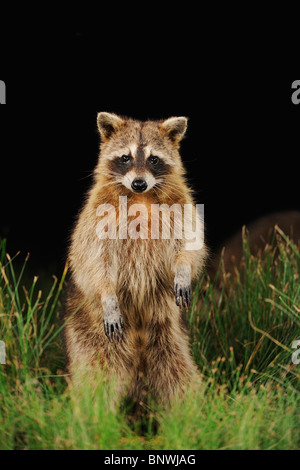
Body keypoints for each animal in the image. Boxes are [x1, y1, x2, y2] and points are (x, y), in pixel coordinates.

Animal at [62, 113, 207, 404]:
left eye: (154, 159)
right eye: (125, 157)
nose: (138, 182)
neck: (142, 196)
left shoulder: (182, 205)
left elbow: (190, 243)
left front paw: (183, 268)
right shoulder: (96, 215)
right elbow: (94, 259)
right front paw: (107, 294)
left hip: (171, 336)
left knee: (179, 374)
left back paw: (191, 413)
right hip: (88, 334)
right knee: (96, 377)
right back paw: (91, 414)